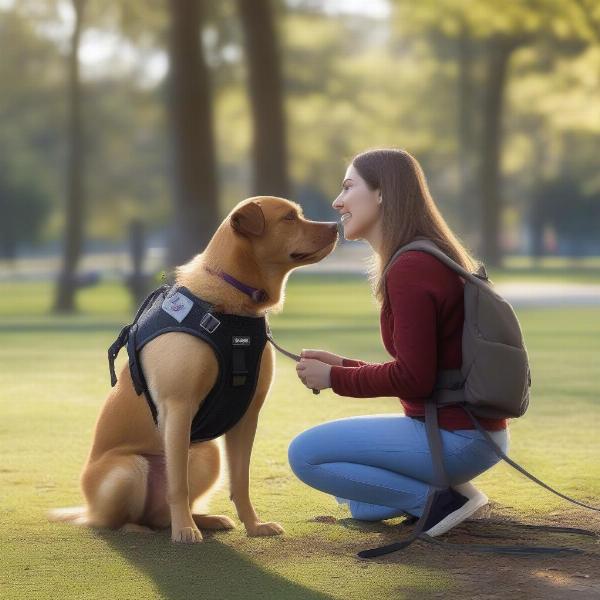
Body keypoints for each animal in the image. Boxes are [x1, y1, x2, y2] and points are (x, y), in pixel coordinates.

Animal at [48, 198, 338, 544]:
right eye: (289, 218)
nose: (337, 225)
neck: (231, 308)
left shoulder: (247, 416)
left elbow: (241, 482)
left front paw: (254, 526)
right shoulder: (178, 406)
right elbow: (177, 486)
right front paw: (185, 531)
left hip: (205, 453)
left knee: (161, 514)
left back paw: (206, 519)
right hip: (130, 469)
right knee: (109, 520)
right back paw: (142, 527)